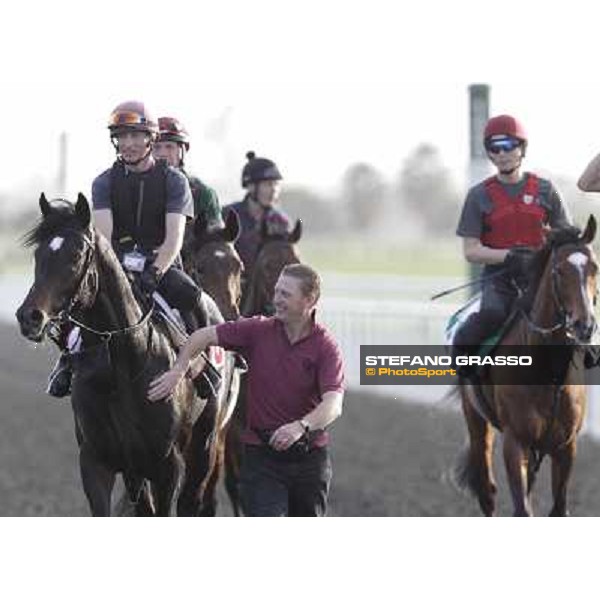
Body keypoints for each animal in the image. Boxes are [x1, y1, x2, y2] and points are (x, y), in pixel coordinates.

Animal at [15, 193, 218, 516]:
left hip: (203, 446)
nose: (29, 317)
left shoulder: (168, 466)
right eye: (38, 255)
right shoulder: (97, 461)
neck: (122, 368)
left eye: (76, 256)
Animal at [458, 216, 596, 516]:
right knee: (487, 490)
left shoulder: (566, 446)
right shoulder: (515, 441)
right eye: (559, 271)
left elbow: (559, 509)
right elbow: (522, 509)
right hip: (476, 420)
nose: (585, 326)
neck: (548, 373)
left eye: (595, 268)